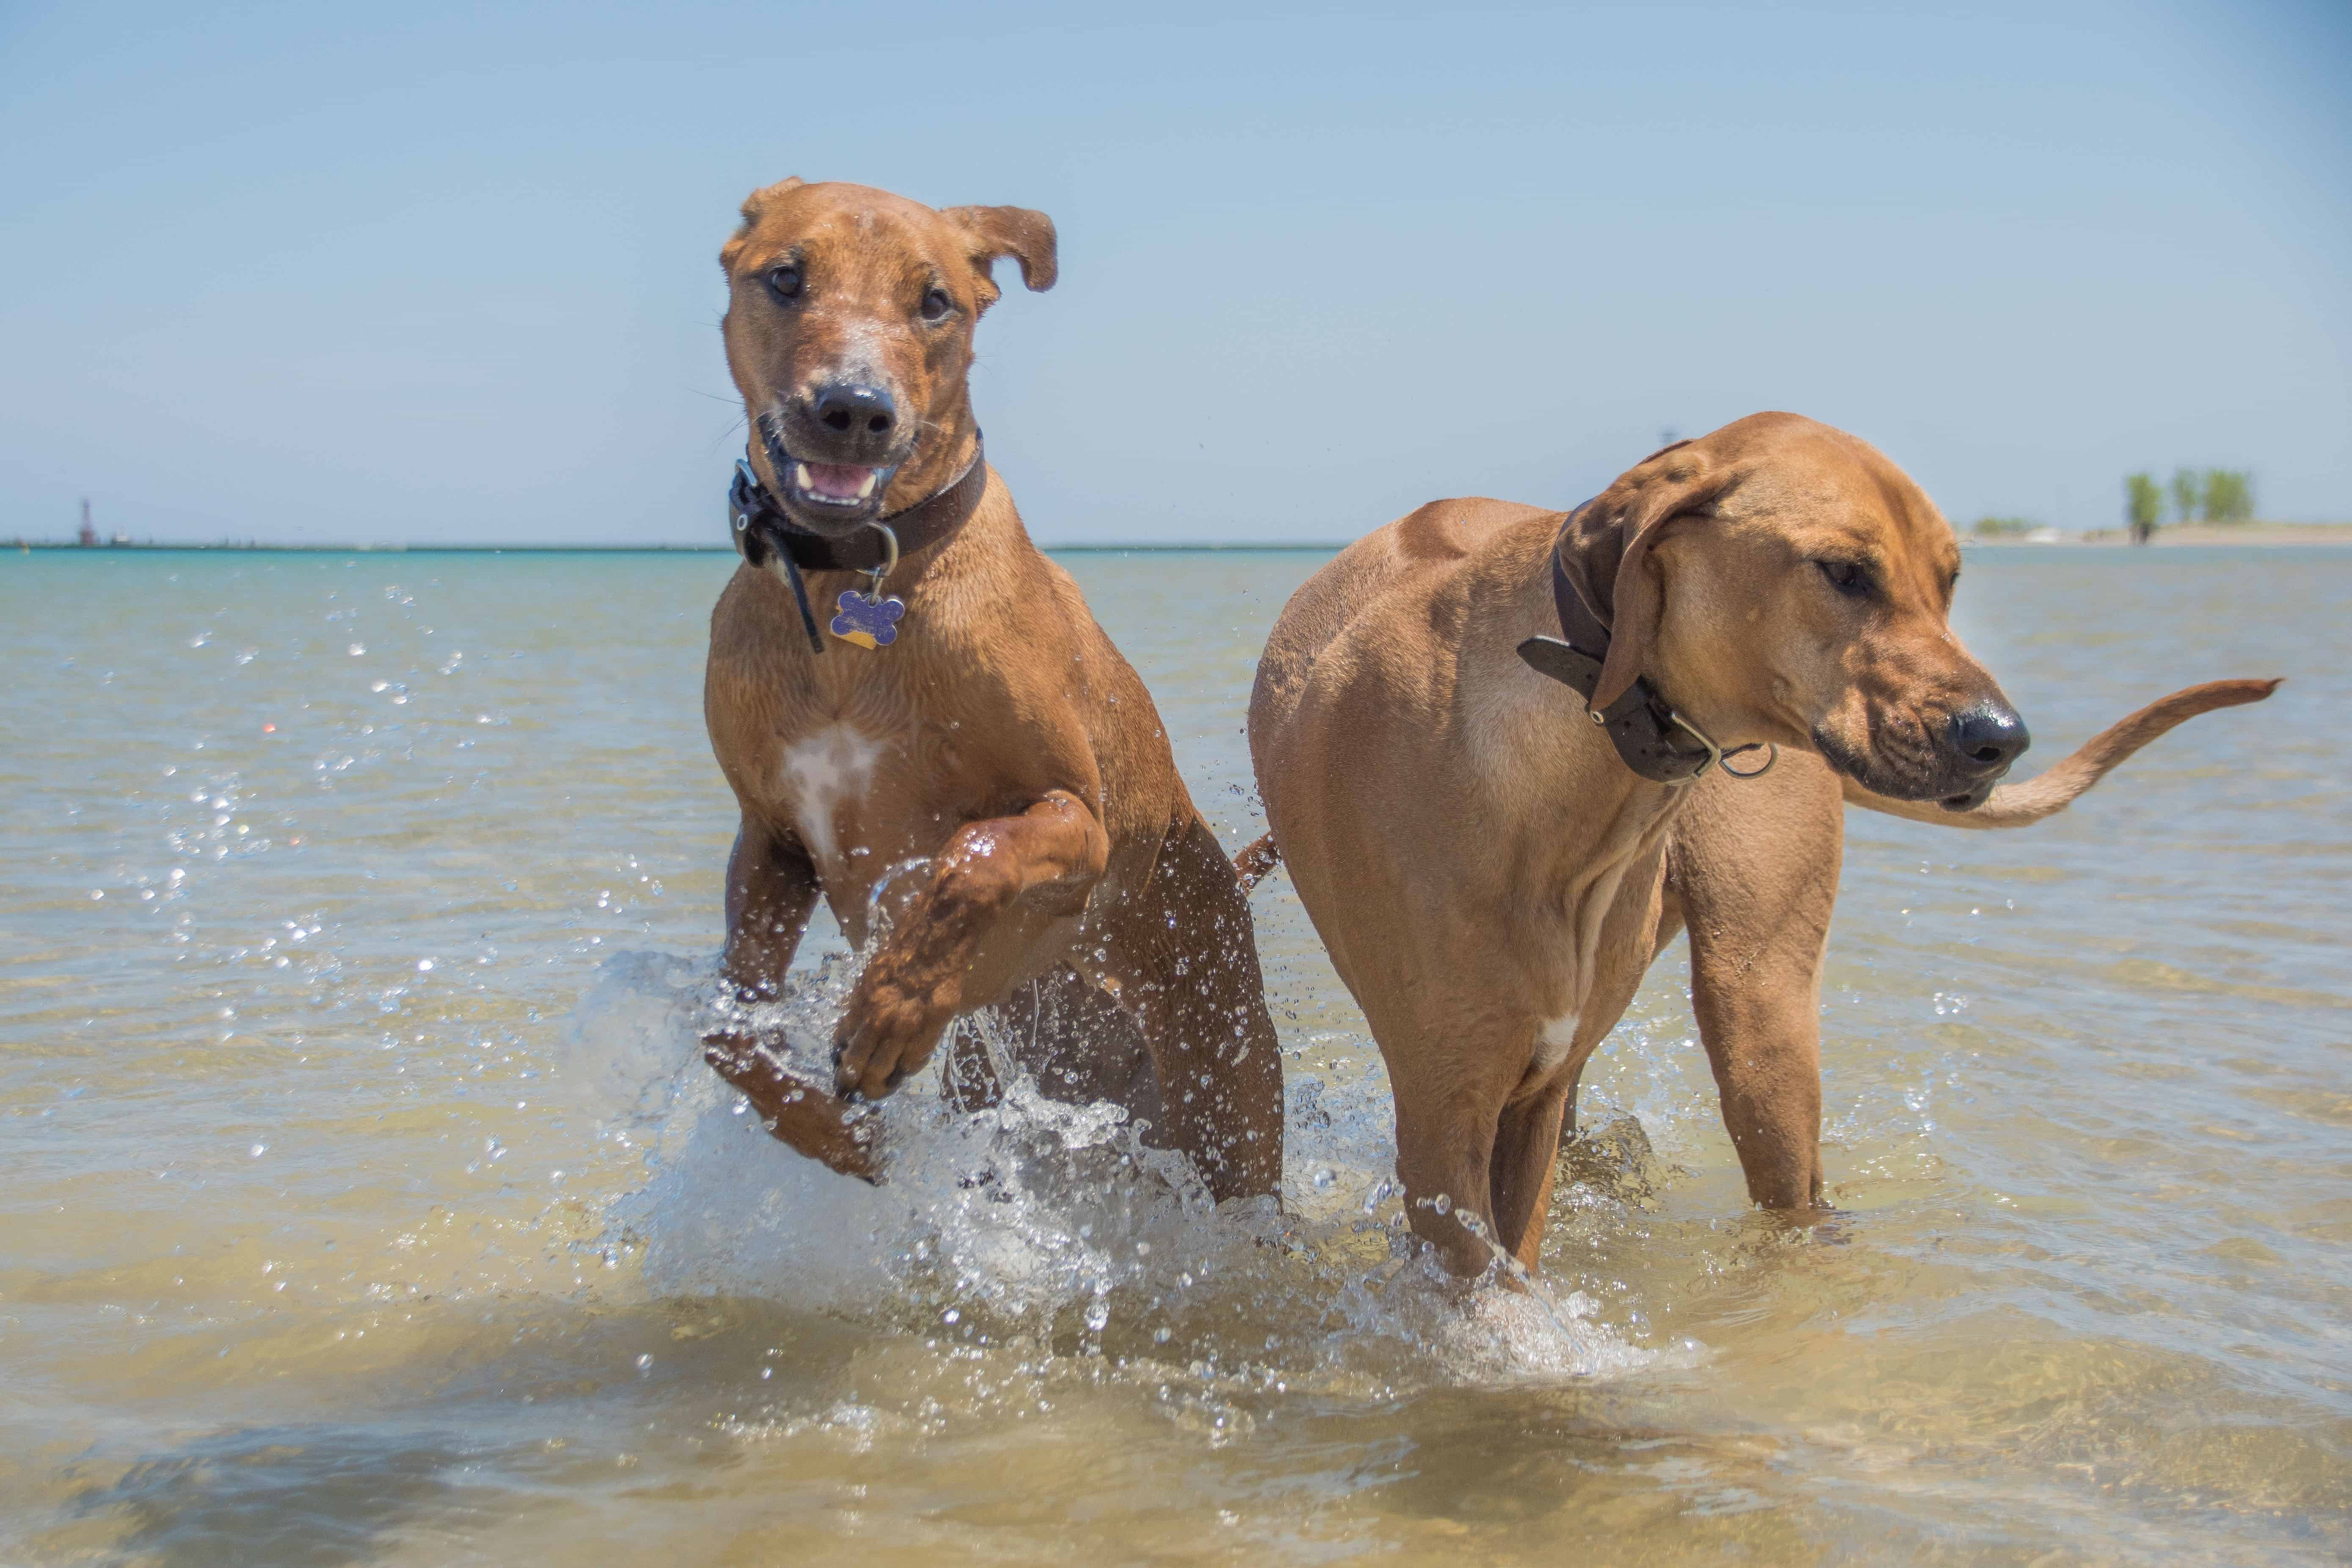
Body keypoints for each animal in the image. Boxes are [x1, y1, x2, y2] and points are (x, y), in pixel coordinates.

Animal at [696, 175, 1289, 1204]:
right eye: (785, 276)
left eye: (935, 301)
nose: (854, 408)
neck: (854, 585)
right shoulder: (771, 836)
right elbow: (725, 1032)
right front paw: (839, 1140)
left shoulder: (1079, 822)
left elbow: (973, 856)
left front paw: (889, 1011)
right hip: (994, 1076)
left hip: (1228, 1109)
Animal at [1251, 413, 2277, 1279]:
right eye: (1844, 572)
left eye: (1948, 579)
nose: (2001, 738)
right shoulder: (1447, 1110)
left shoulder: (1517, 1102)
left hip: (1760, 1006)